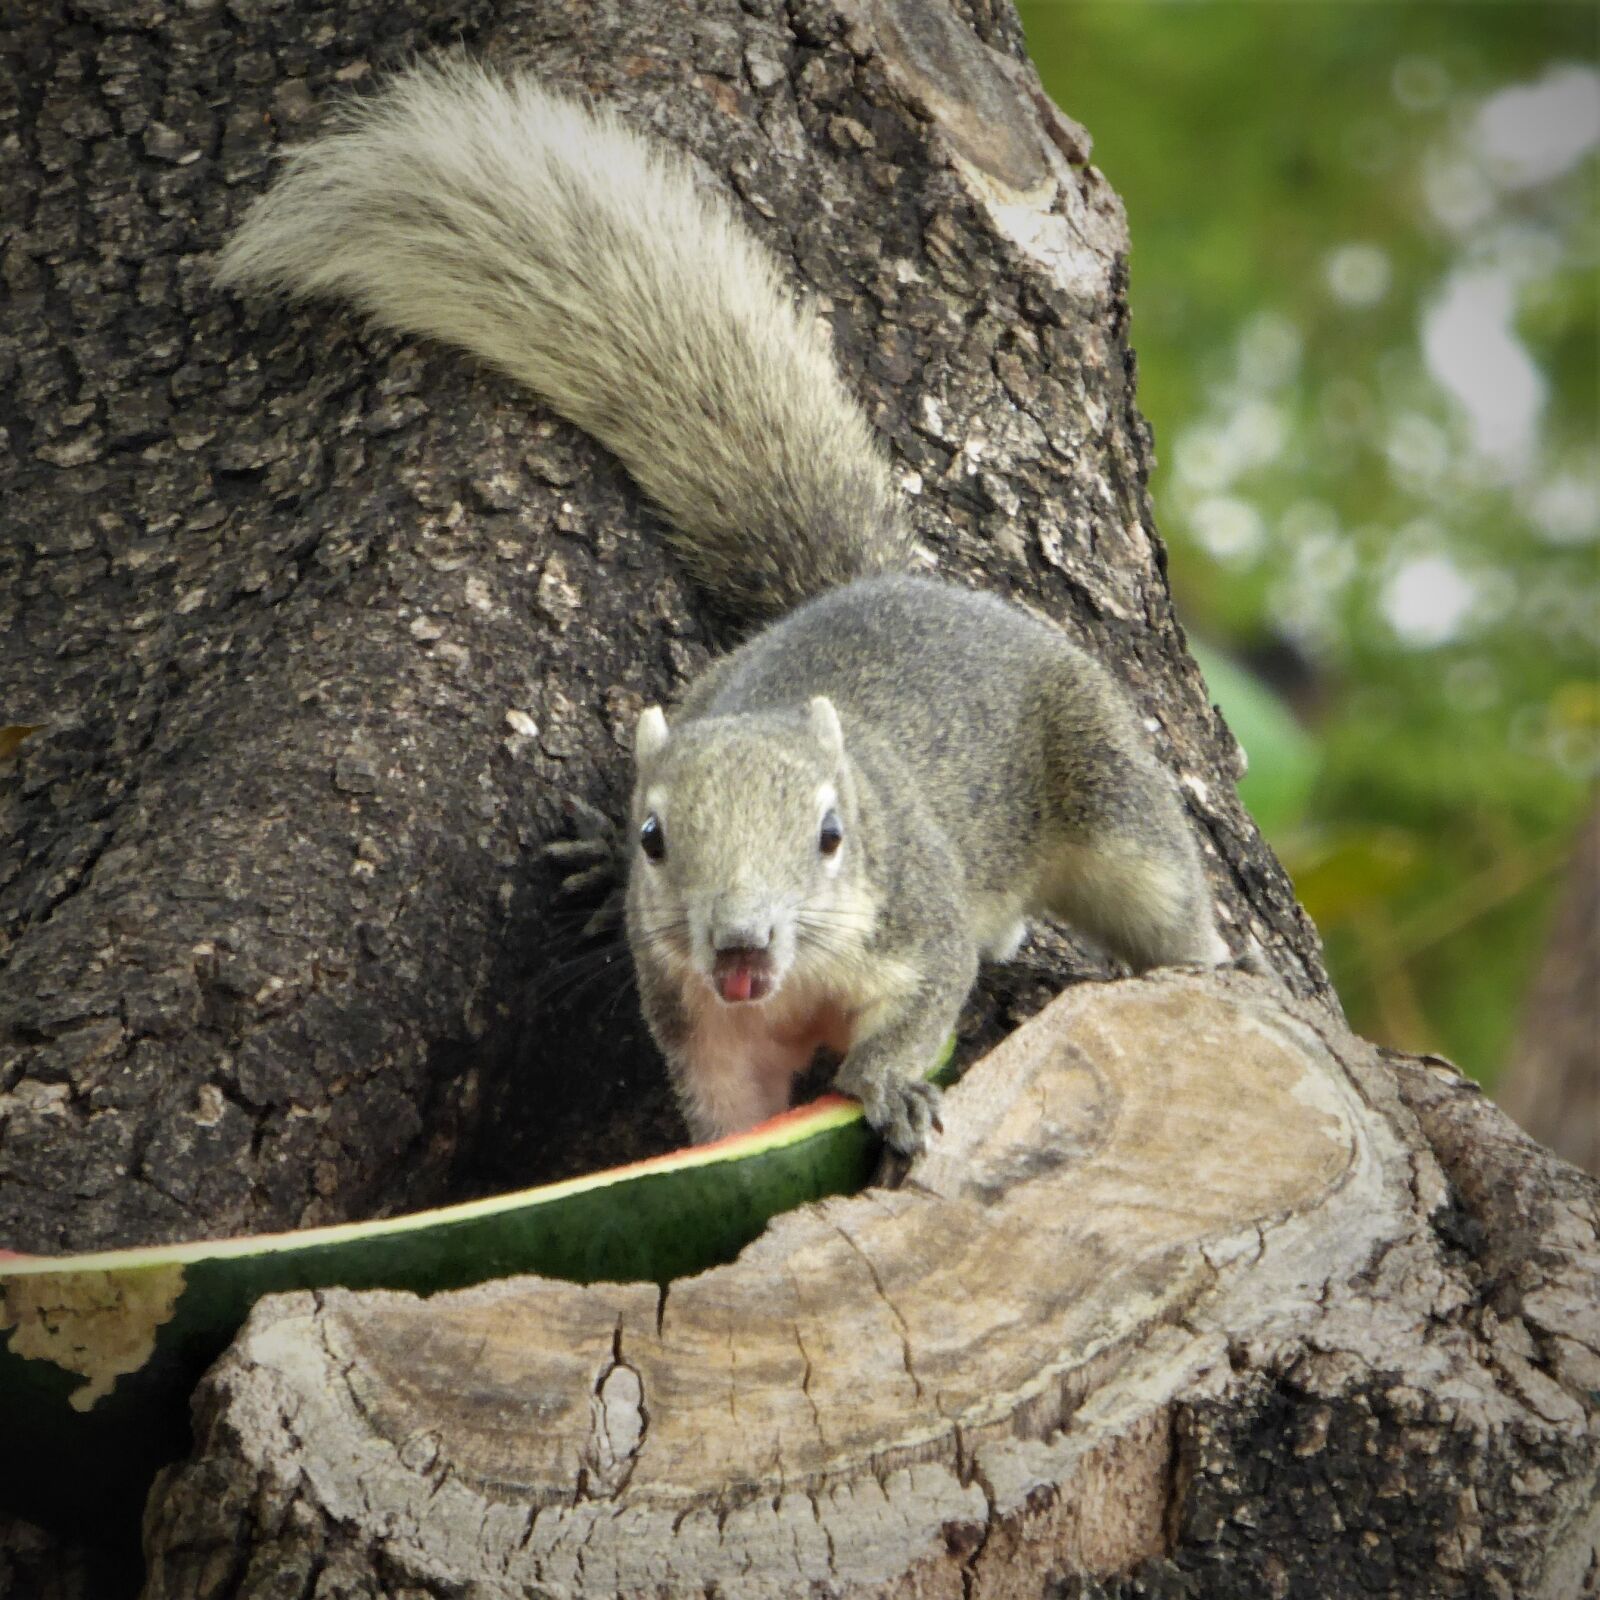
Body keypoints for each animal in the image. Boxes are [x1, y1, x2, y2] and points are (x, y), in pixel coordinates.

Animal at [216, 59, 1235, 1152]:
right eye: (654, 839)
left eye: (832, 835)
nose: (739, 940)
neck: (793, 981)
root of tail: (878, 585)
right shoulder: (701, 1021)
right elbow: (725, 1108)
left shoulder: (919, 928)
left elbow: (921, 1010)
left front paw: (890, 1086)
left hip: (1110, 793)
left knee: (1163, 898)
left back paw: (1207, 965)